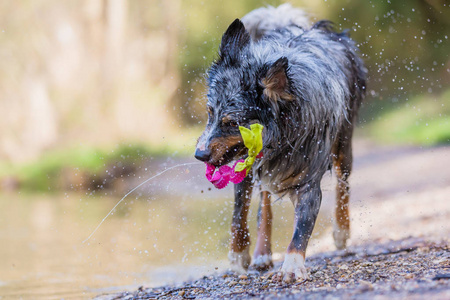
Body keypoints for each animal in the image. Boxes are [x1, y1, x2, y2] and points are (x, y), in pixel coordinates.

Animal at [193, 3, 366, 282]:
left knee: (343, 185)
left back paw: (341, 231)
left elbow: (302, 228)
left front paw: (293, 264)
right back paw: (263, 252)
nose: (199, 155)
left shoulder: (309, 180)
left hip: (344, 146)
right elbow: (239, 214)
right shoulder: (245, 166)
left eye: (232, 122)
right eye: (210, 112)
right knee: (264, 202)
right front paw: (239, 254)